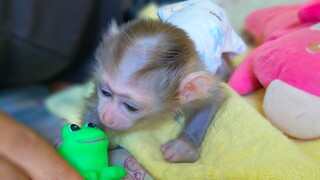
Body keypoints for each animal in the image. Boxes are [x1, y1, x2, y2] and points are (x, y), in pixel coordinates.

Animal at [86, 18, 224, 163]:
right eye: (105, 92)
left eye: (131, 107)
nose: (106, 116)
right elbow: (94, 103)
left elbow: (213, 97)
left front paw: (184, 146)